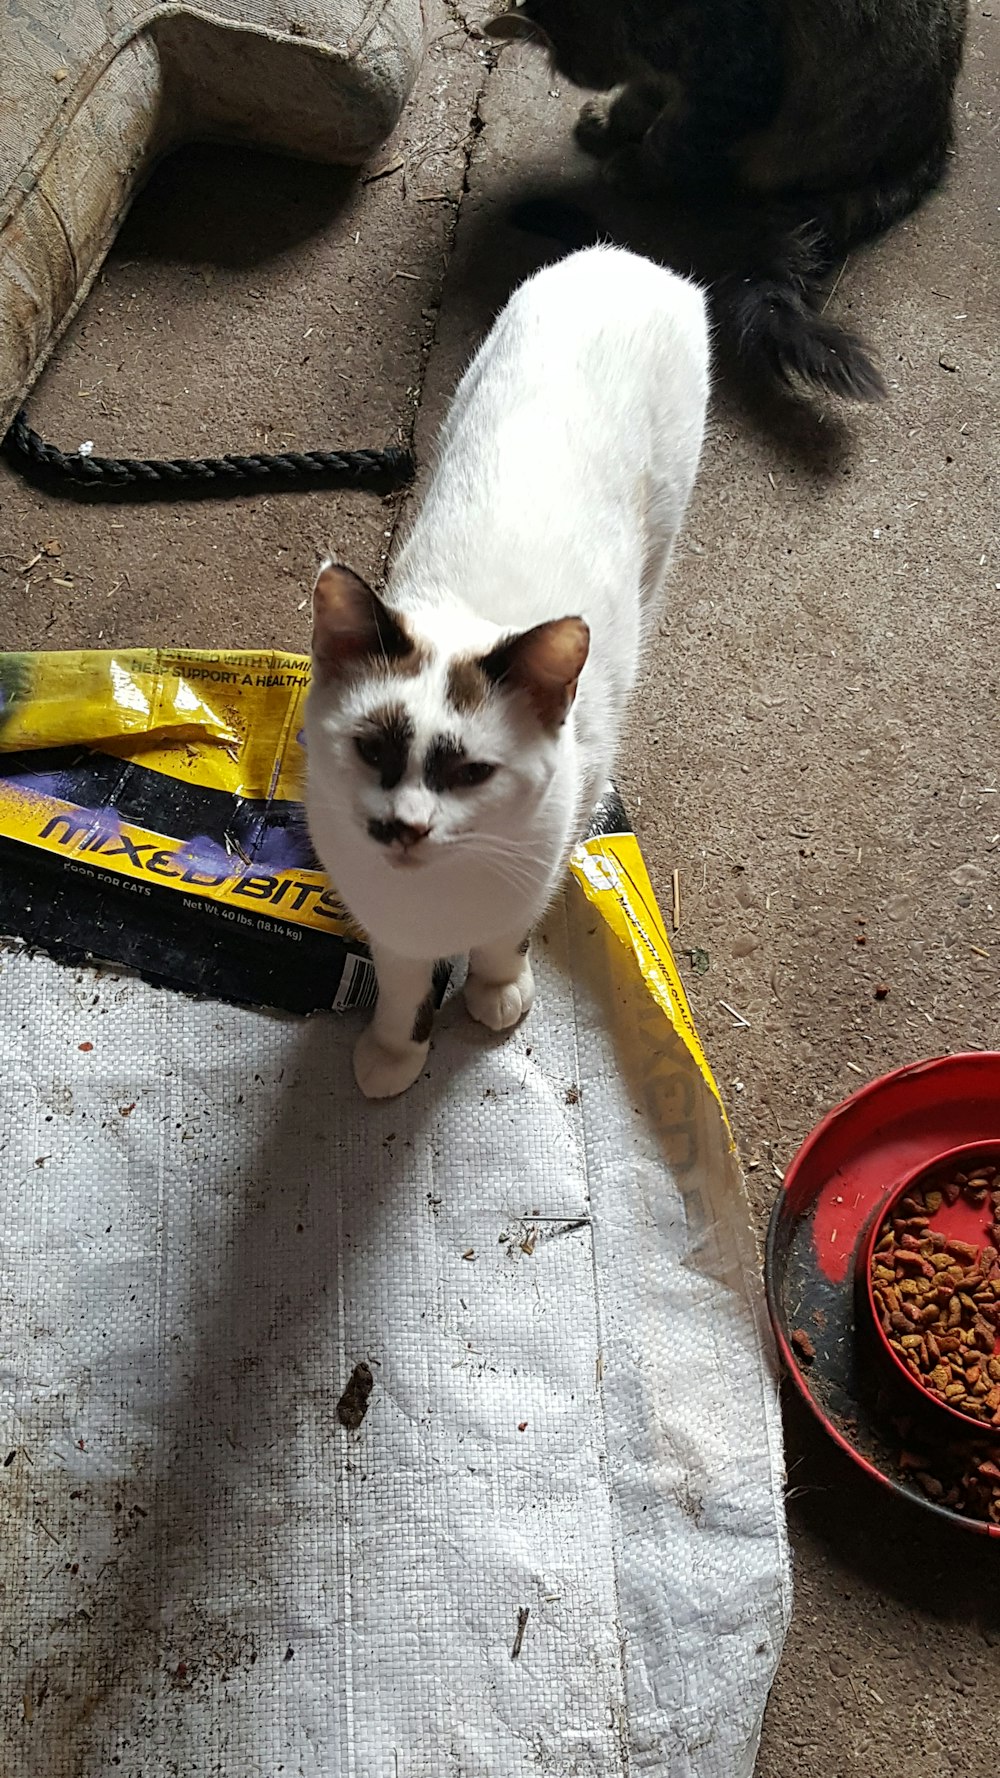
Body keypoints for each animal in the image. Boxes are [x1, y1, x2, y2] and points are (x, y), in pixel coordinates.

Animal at [307, 243, 704, 1088]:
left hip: (663, 535)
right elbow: (401, 989)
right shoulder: (390, 931)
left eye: (470, 774)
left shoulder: (531, 878)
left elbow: (501, 941)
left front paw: (494, 993)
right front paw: (396, 1053)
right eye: (373, 751)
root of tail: (624, 256)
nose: (405, 828)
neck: (438, 896)